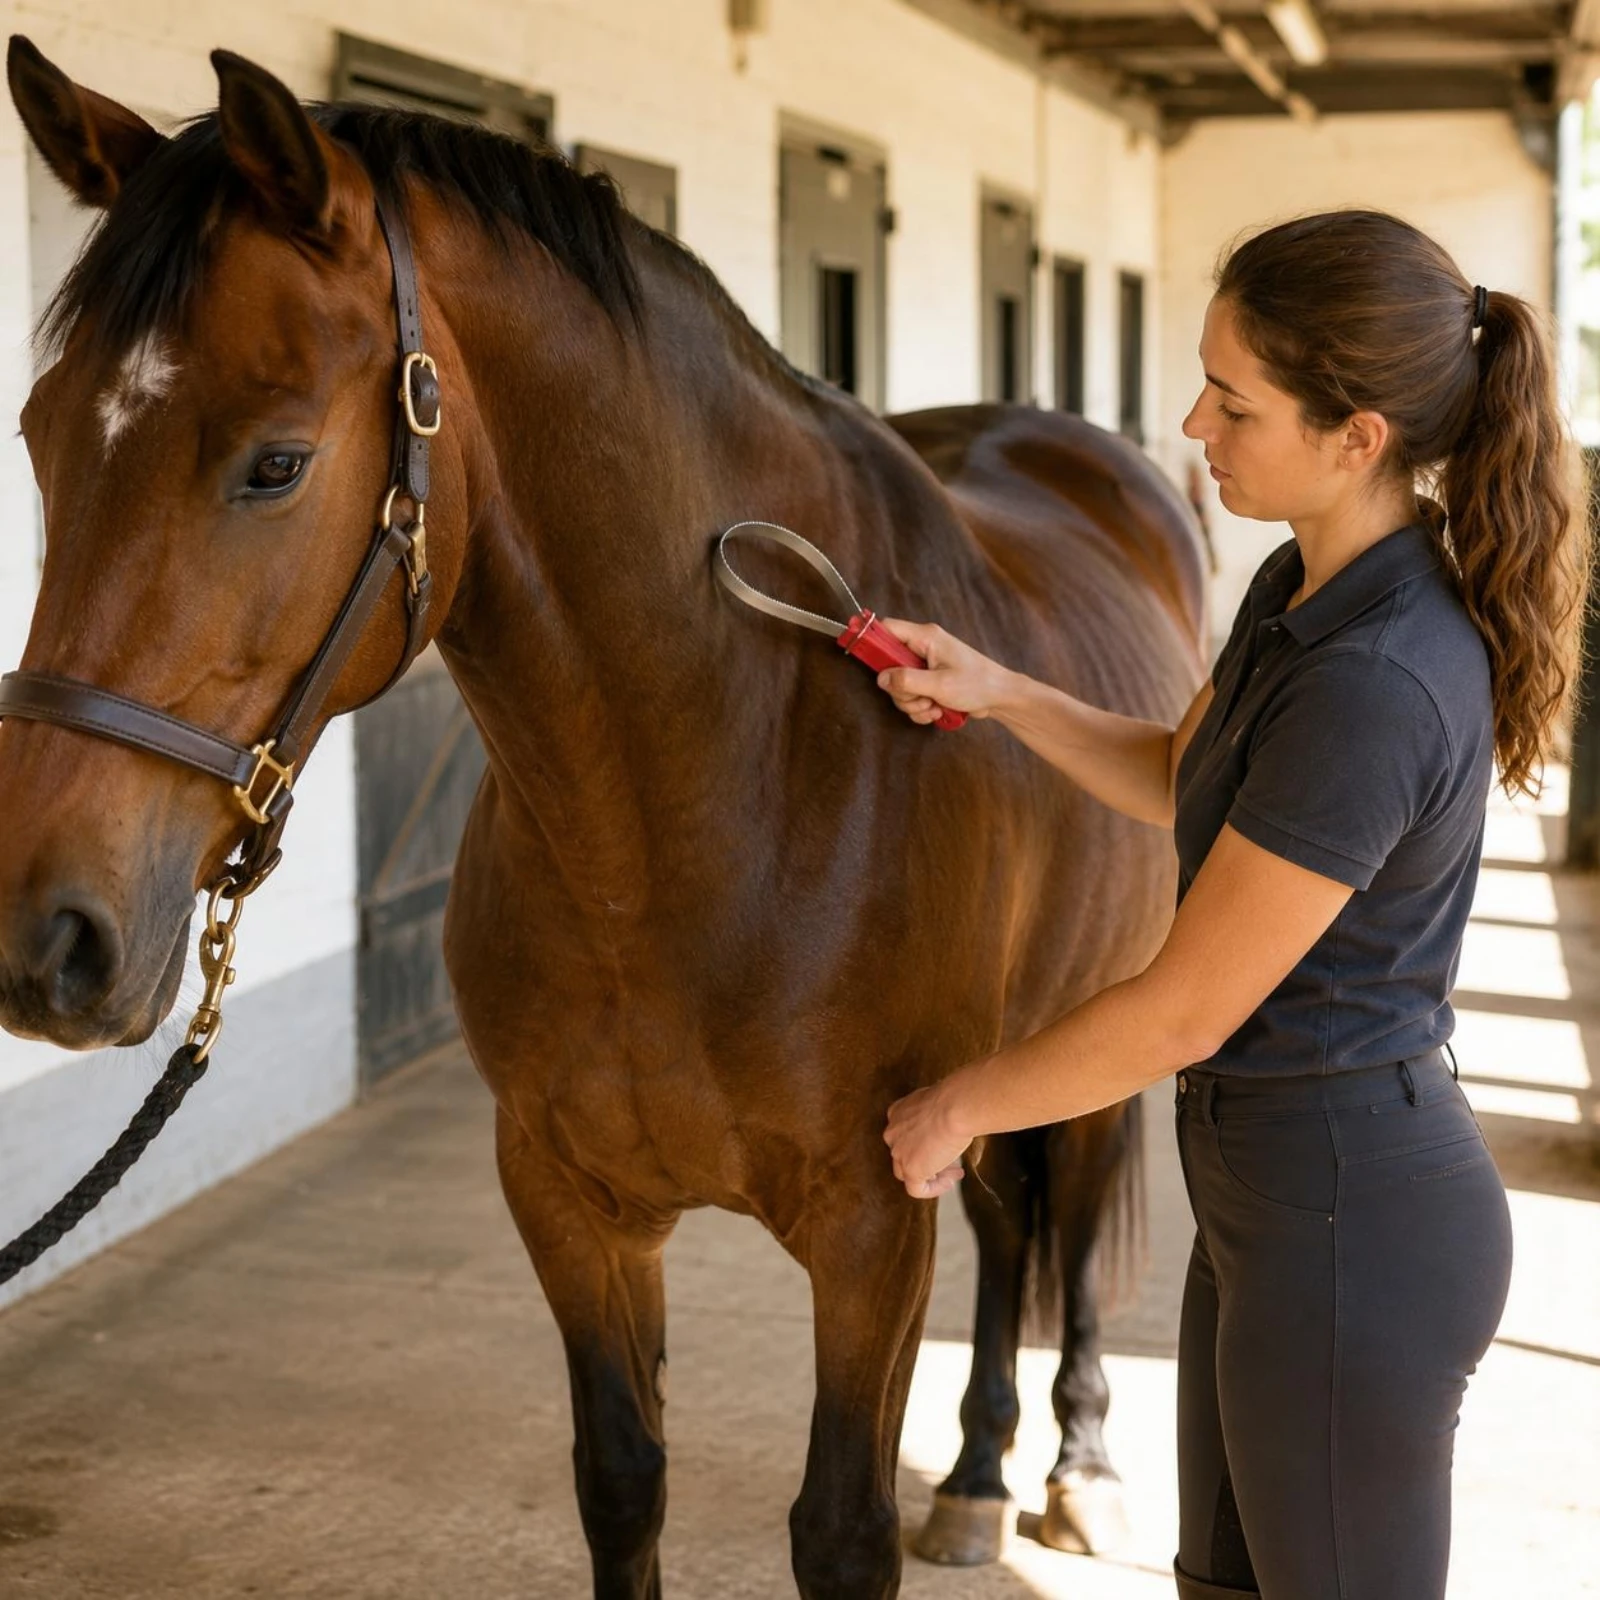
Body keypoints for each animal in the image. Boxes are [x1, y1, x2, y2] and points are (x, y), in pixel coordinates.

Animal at [0, 40, 1204, 1599]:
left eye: (274, 463)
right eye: (38, 437)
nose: (46, 939)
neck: (714, 800)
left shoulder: (871, 1228)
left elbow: (840, 1529)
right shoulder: (567, 1199)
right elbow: (623, 1479)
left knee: (1082, 1215)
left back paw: (1080, 1463)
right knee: (1013, 1221)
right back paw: (981, 1474)